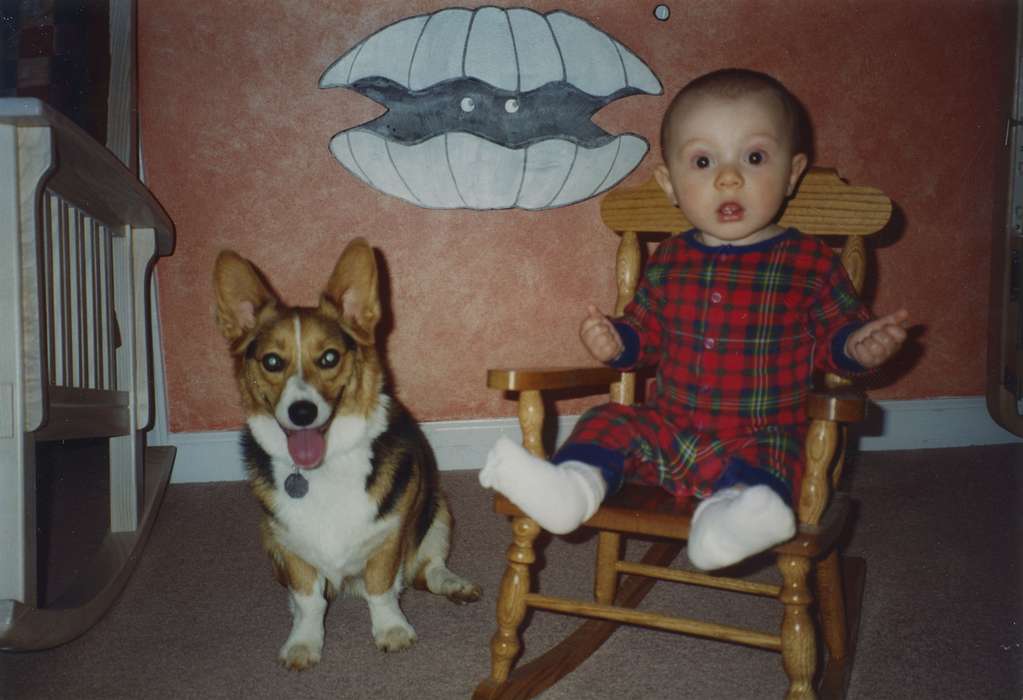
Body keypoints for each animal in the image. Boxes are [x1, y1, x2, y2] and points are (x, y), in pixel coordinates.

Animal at [212, 237, 482, 671]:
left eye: (329, 357)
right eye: (272, 361)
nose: (302, 412)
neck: (323, 469)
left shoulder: (390, 535)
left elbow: (382, 589)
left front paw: (392, 631)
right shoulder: (290, 545)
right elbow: (309, 601)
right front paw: (304, 642)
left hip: (438, 508)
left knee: (428, 569)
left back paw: (455, 585)